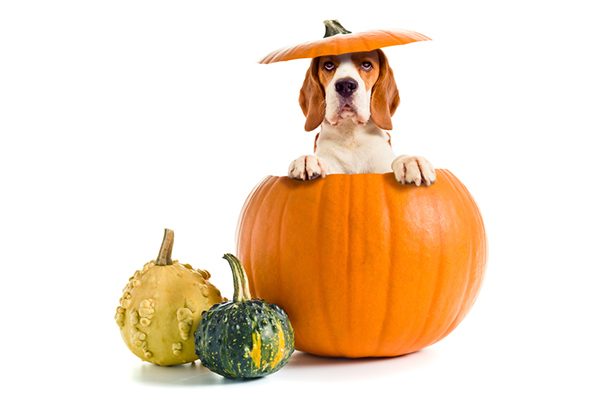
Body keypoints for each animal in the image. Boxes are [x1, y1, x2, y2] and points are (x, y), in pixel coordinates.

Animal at [288, 48, 436, 186]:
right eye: (328, 65)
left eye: (366, 65)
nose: (345, 85)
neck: (351, 134)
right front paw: (307, 160)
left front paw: (410, 161)